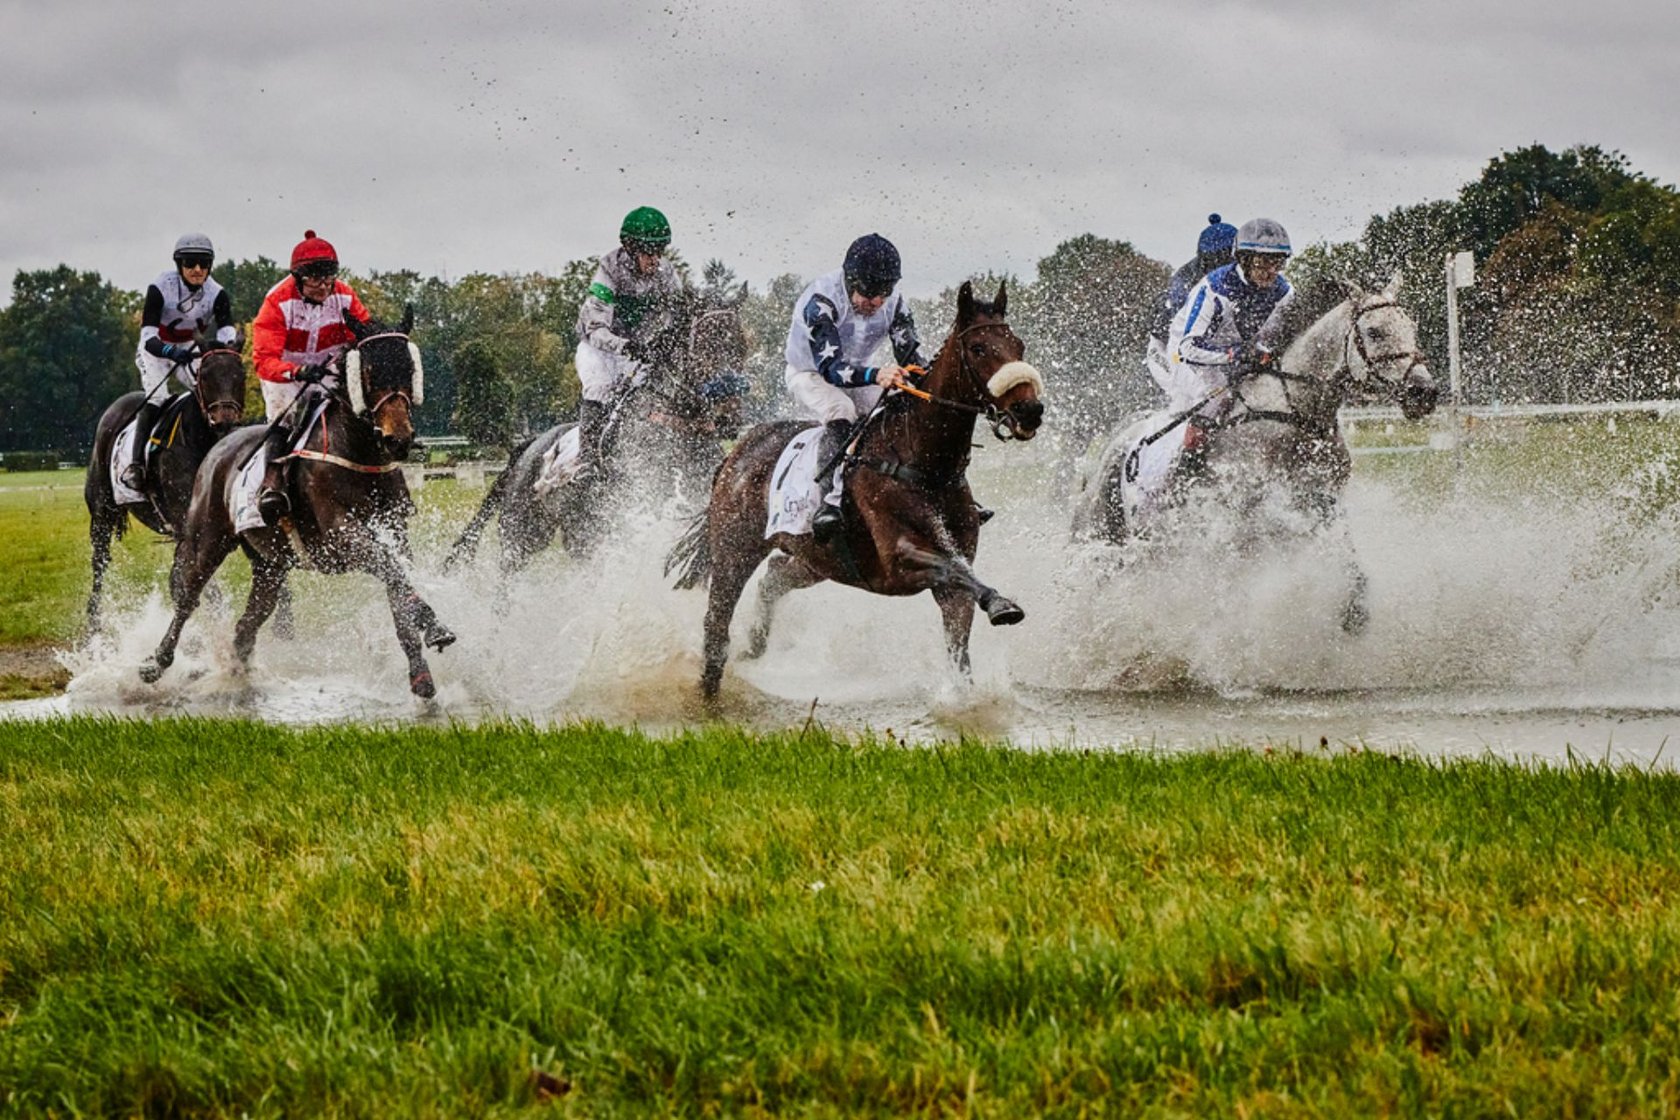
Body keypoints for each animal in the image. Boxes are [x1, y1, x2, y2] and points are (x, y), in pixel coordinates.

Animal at [83, 341, 247, 631]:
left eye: (242, 375)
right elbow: (193, 585)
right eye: (206, 376)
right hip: (102, 511)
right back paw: (94, 624)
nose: (226, 421)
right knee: (99, 561)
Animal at [139, 311, 457, 697]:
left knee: (250, 621)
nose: (398, 439)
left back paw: (238, 669)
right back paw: (156, 662)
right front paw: (432, 624)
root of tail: (219, 445)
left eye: (409, 369)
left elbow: (398, 582)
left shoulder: (395, 534)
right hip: (208, 539)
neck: (358, 454)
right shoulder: (342, 536)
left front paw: (420, 669)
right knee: (188, 596)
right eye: (368, 371)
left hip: (269, 564)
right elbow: (392, 572)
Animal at [446, 289, 750, 574]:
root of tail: (527, 447)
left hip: (578, 532)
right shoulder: (640, 502)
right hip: (523, 531)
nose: (729, 416)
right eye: (704, 345)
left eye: (741, 345)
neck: (675, 426)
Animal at [666, 280, 1046, 703]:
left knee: (775, 576)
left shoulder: (951, 583)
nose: (1030, 410)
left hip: (818, 557)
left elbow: (960, 633)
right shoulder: (900, 559)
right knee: (717, 624)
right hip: (735, 549)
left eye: (1018, 345)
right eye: (979, 348)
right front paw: (1001, 604)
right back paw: (710, 691)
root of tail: (736, 453)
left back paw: (755, 646)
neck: (926, 465)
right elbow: (953, 569)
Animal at [1070, 274, 1438, 630]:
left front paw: (1354, 610)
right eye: (1375, 332)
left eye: (1412, 327)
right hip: (1100, 534)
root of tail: (1118, 440)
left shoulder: (1321, 506)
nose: (1424, 393)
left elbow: (1346, 559)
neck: (1294, 411)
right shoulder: (1251, 524)